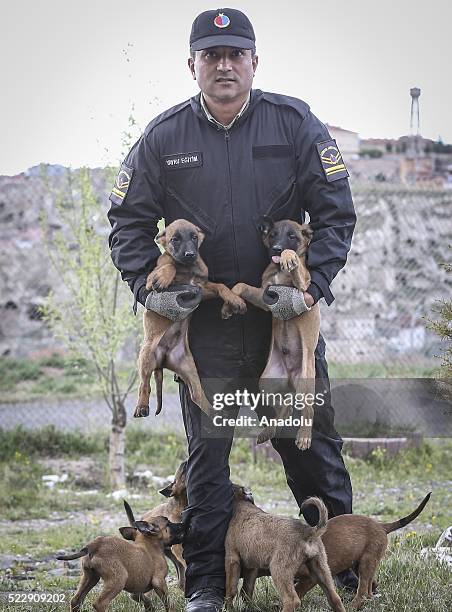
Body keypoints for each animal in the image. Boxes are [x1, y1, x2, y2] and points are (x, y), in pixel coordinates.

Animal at [57, 502, 185, 612]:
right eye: (168, 523)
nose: (182, 523)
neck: (150, 544)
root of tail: (94, 545)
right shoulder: (159, 582)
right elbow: (168, 603)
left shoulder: (136, 590)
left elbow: (146, 600)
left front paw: (150, 608)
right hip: (118, 580)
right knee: (99, 603)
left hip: (90, 577)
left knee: (75, 601)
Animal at [135, 219, 245, 420]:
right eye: (175, 239)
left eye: (194, 237)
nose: (190, 254)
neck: (187, 268)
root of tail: (162, 360)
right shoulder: (150, 282)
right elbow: (169, 265)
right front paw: (163, 276)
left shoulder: (201, 289)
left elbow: (221, 286)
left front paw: (234, 300)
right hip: (146, 355)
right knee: (143, 384)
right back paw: (142, 406)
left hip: (190, 370)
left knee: (197, 395)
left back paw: (216, 412)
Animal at [222, 216, 322, 450]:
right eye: (273, 234)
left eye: (292, 236)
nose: (276, 249)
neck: (279, 271)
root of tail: (292, 376)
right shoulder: (266, 298)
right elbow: (240, 286)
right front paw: (230, 304)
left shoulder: (303, 288)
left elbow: (296, 264)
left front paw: (289, 256)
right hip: (266, 382)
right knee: (285, 406)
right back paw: (268, 430)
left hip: (306, 379)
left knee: (307, 409)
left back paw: (304, 437)